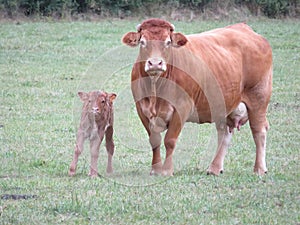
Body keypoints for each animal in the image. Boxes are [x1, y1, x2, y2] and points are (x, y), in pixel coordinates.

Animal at [121, 18, 272, 177]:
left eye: (168, 42)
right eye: (142, 42)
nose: (155, 63)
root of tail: (245, 28)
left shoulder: (182, 107)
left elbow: (170, 140)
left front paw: (167, 170)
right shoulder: (141, 108)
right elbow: (154, 140)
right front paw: (155, 169)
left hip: (258, 98)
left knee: (259, 130)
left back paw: (259, 169)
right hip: (225, 103)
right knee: (224, 133)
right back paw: (215, 168)